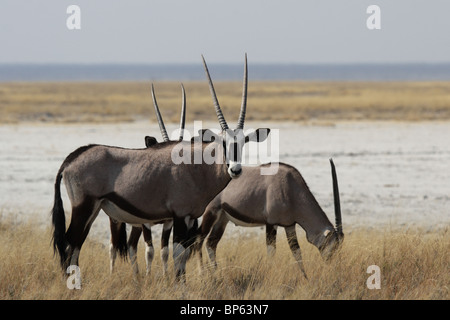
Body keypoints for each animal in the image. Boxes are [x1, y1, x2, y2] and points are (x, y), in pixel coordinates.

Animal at [52, 54, 270, 280]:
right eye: (223, 142)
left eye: (244, 142)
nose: (235, 170)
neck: (197, 166)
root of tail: (71, 159)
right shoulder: (179, 216)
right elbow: (177, 254)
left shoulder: (189, 218)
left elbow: (182, 255)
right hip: (84, 207)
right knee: (70, 243)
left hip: (93, 210)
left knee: (76, 245)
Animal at [194, 160, 344, 278]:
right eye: (334, 246)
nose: (334, 266)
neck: (291, 188)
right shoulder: (271, 223)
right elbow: (271, 252)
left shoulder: (289, 225)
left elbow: (296, 251)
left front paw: (305, 277)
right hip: (211, 213)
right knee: (199, 240)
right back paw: (202, 273)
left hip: (222, 218)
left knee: (211, 243)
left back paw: (216, 272)